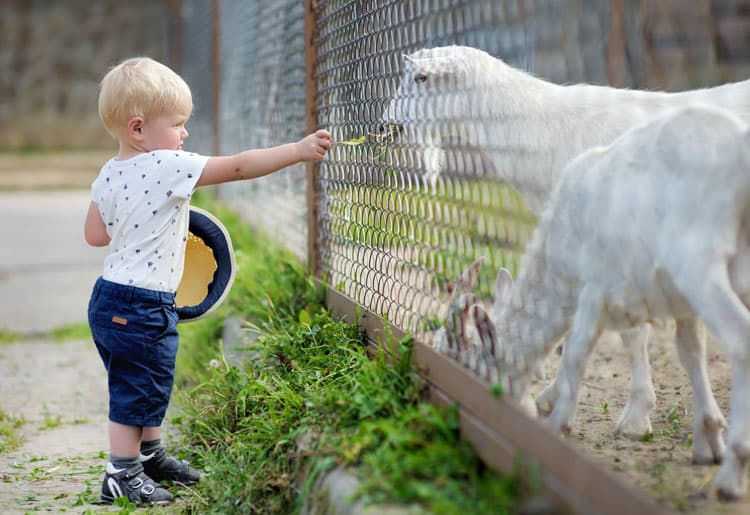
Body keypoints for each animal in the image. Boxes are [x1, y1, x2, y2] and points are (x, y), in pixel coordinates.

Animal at [450, 107, 750, 502]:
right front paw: (708, 442)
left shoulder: (594, 285)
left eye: (475, 367)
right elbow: (690, 354)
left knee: (740, 339)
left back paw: (732, 476)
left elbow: (577, 348)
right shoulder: (680, 303)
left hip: (700, 264)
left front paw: (556, 422)